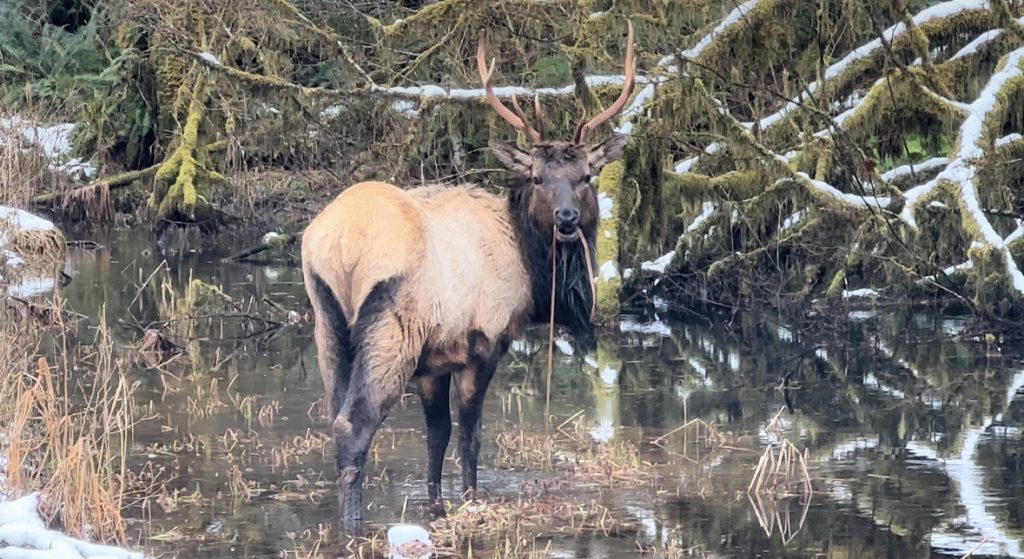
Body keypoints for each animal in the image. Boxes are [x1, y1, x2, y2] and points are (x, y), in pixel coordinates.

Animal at [299, 22, 630, 528]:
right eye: (537, 178)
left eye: (586, 176)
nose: (567, 219)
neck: (532, 269)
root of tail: (336, 245)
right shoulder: (485, 342)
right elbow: (470, 435)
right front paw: (473, 498)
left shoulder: (433, 361)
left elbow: (437, 434)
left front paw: (436, 501)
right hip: (389, 328)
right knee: (353, 423)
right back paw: (353, 524)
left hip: (327, 324)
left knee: (334, 414)